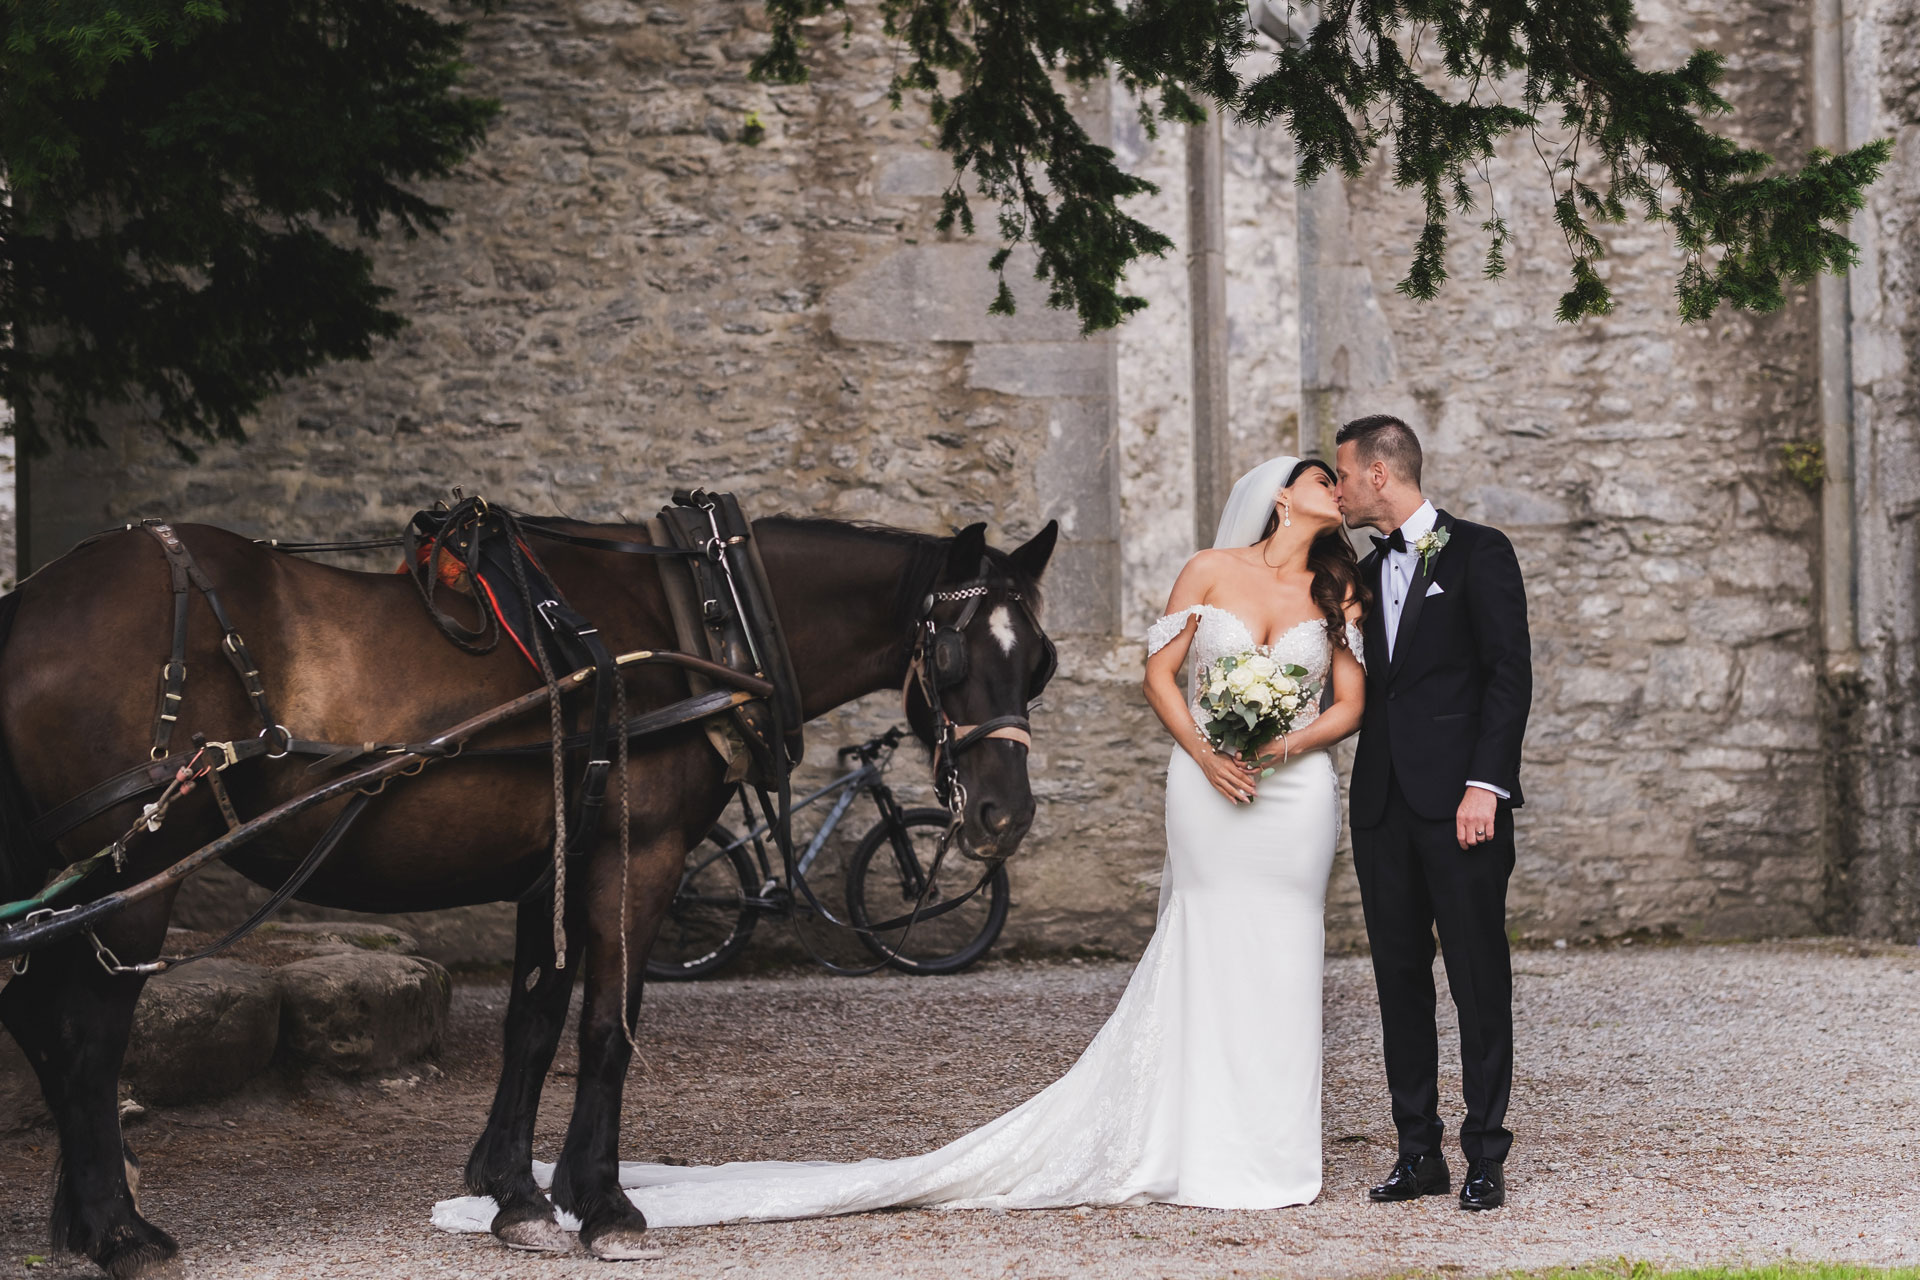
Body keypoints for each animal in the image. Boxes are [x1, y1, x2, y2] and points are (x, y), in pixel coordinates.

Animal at [0, 511, 1059, 1278]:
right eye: (954, 656)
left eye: (1039, 661)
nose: (1003, 813)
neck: (697, 620)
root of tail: (30, 600)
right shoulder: (638, 855)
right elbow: (606, 1028)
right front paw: (607, 1204)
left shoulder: (555, 859)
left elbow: (535, 1023)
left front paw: (516, 1193)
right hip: (135, 869)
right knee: (86, 1041)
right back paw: (121, 1231)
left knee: (43, 1028)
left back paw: (81, 1222)